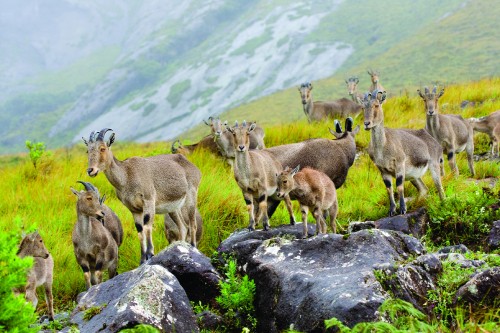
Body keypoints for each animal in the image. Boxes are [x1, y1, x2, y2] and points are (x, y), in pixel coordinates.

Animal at [84, 128, 201, 264]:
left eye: (102, 148)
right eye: (88, 150)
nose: (91, 170)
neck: (127, 176)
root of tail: (194, 167)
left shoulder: (148, 200)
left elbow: (147, 226)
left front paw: (150, 254)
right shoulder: (134, 209)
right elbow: (140, 230)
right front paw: (142, 259)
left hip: (191, 196)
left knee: (192, 224)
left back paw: (193, 247)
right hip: (173, 208)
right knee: (183, 227)